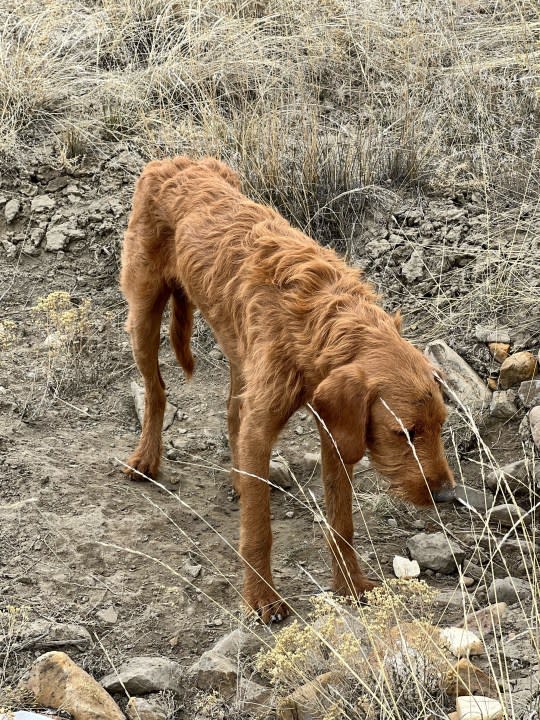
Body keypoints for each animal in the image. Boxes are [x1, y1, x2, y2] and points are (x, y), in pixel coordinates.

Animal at [119, 158, 456, 624]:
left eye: (441, 426)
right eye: (404, 433)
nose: (447, 495)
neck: (320, 319)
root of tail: (172, 161)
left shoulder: (337, 430)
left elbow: (342, 521)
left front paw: (350, 584)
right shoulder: (274, 424)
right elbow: (258, 530)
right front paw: (262, 597)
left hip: (238, 349)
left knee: (232, 413)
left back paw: (240, 477)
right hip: (143, 312)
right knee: (157, 390)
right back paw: (146, 458)